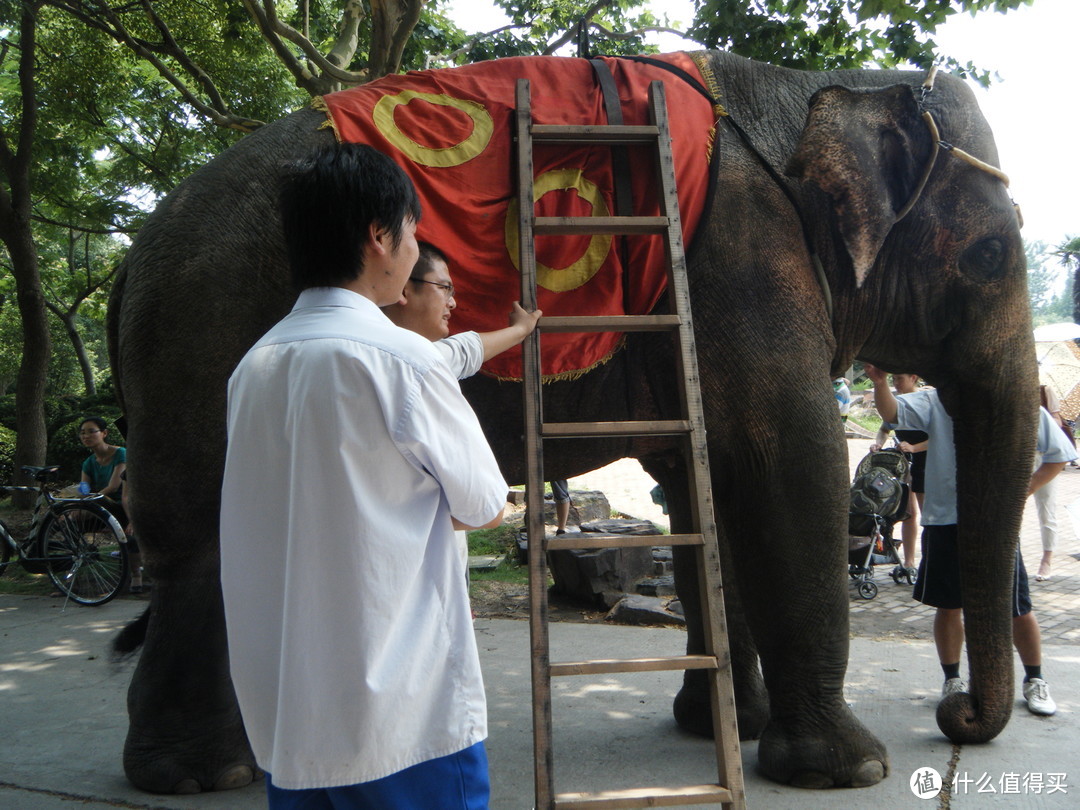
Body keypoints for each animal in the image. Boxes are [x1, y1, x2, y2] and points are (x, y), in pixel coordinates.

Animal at [105, 49, 1032, 794]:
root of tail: (128, 263)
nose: (954, 718)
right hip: (204, 332)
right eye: (989, 256)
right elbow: (786, 468)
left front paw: (725, 723)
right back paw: (201, 776)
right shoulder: (744, 267)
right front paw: (847, 768)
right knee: (200, 539)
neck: (811, 88)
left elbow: (699, 495)